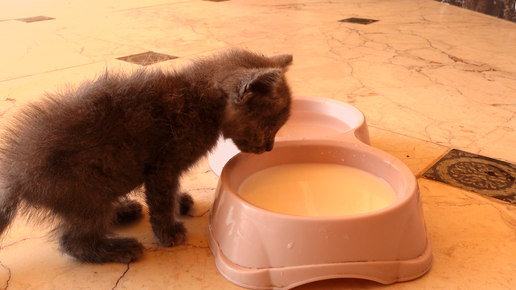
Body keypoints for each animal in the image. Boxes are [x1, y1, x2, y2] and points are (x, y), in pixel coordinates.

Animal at [0, 49, 292, 262]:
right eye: (270, 125)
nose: (269, 147)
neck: (200, 101)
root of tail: (15, 173)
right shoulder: (163, 166)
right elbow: (162, 201)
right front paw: (168, 232)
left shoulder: (165, 169)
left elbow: (170, 194)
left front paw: (180, 202)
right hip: (86, 189)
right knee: (73, 242)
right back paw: (118, 248)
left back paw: (124, 210)